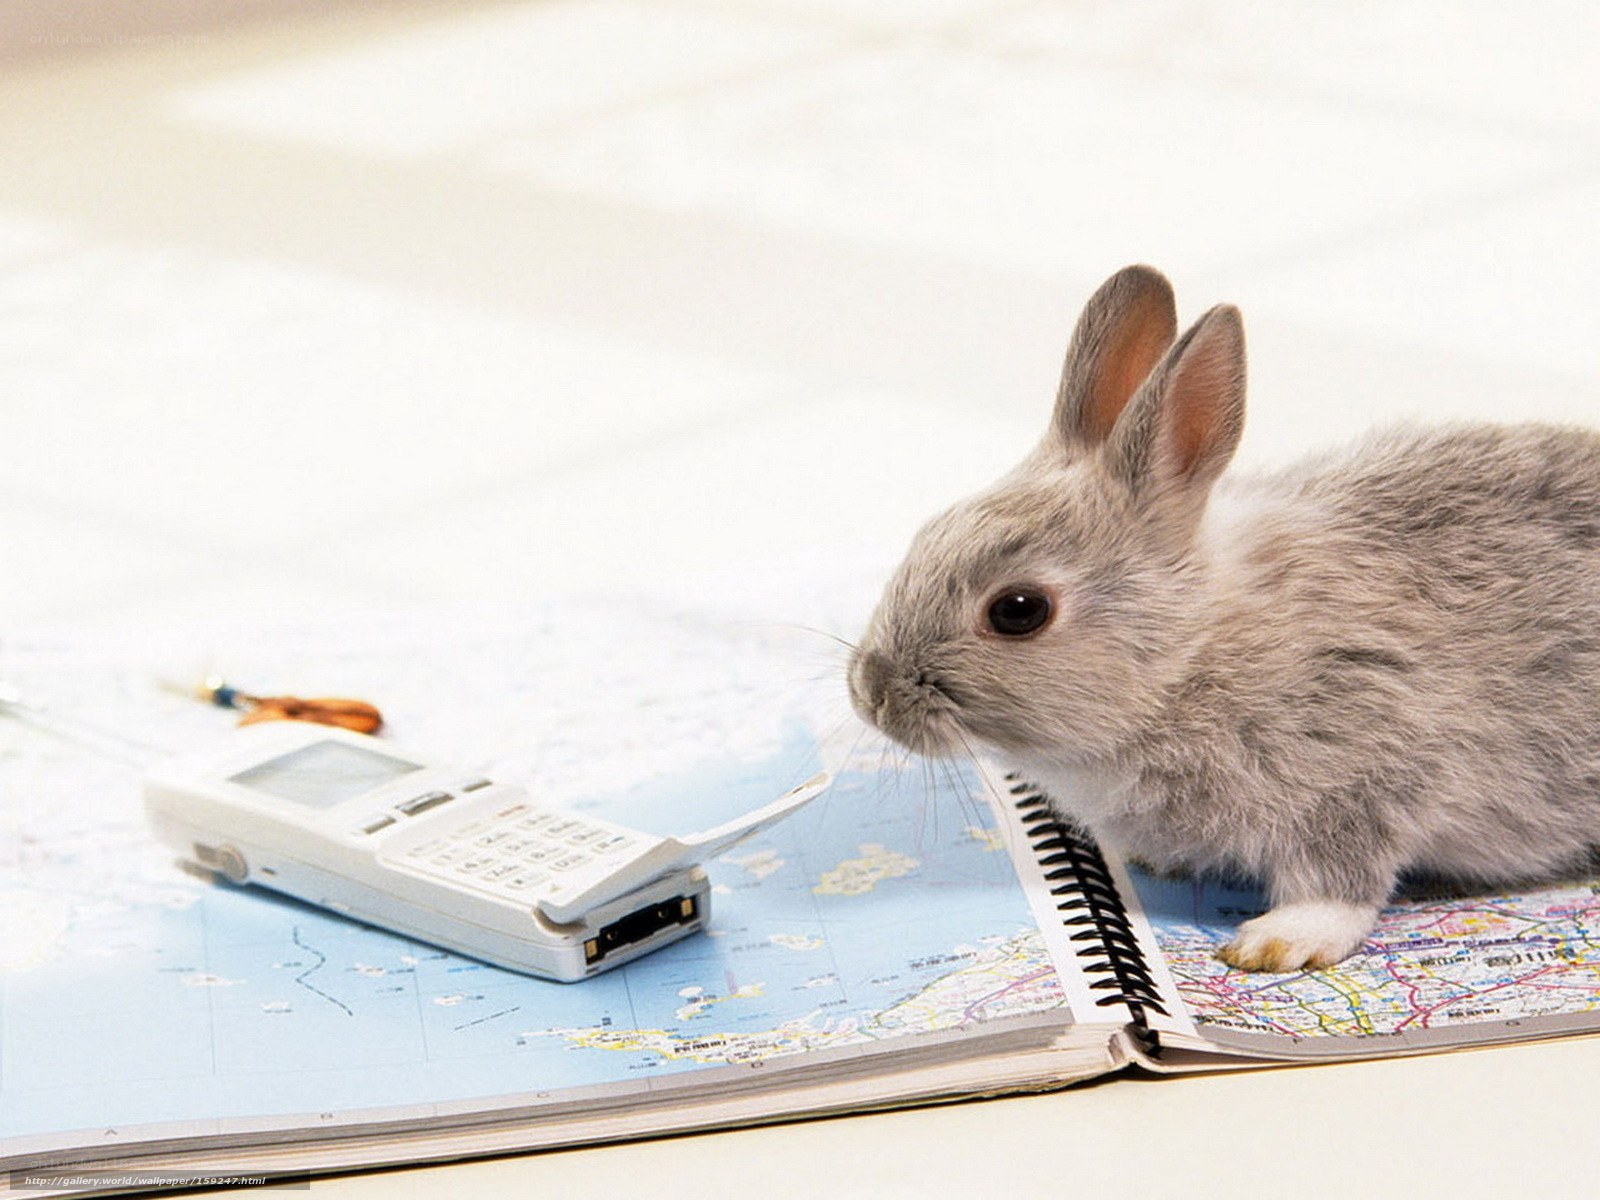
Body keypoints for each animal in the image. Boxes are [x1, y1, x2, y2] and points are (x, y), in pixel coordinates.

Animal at [848, 263, 1600, 973]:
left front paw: (1281, 942)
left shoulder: (1365, 770)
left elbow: (1342, 881)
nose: (870, 694)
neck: (1189, 652)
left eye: (1018, 610)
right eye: (927, 531)